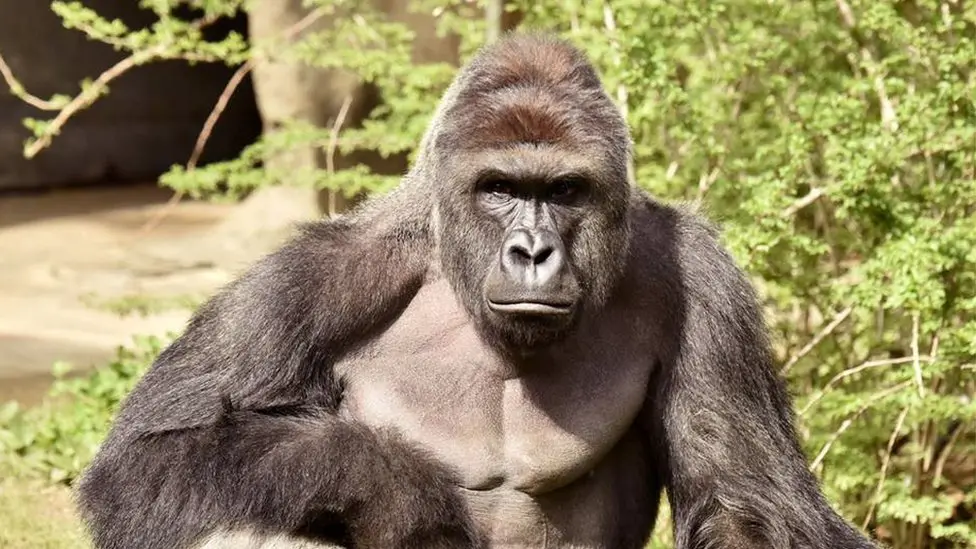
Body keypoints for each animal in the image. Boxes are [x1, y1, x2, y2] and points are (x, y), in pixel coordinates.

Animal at [76, 32, 878, 549]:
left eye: (563, 190)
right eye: (500, 189)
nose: (532, 252)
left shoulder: (703, 285)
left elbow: (747, 504)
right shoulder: (305, 283)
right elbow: (146, 459)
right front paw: (390, 483)